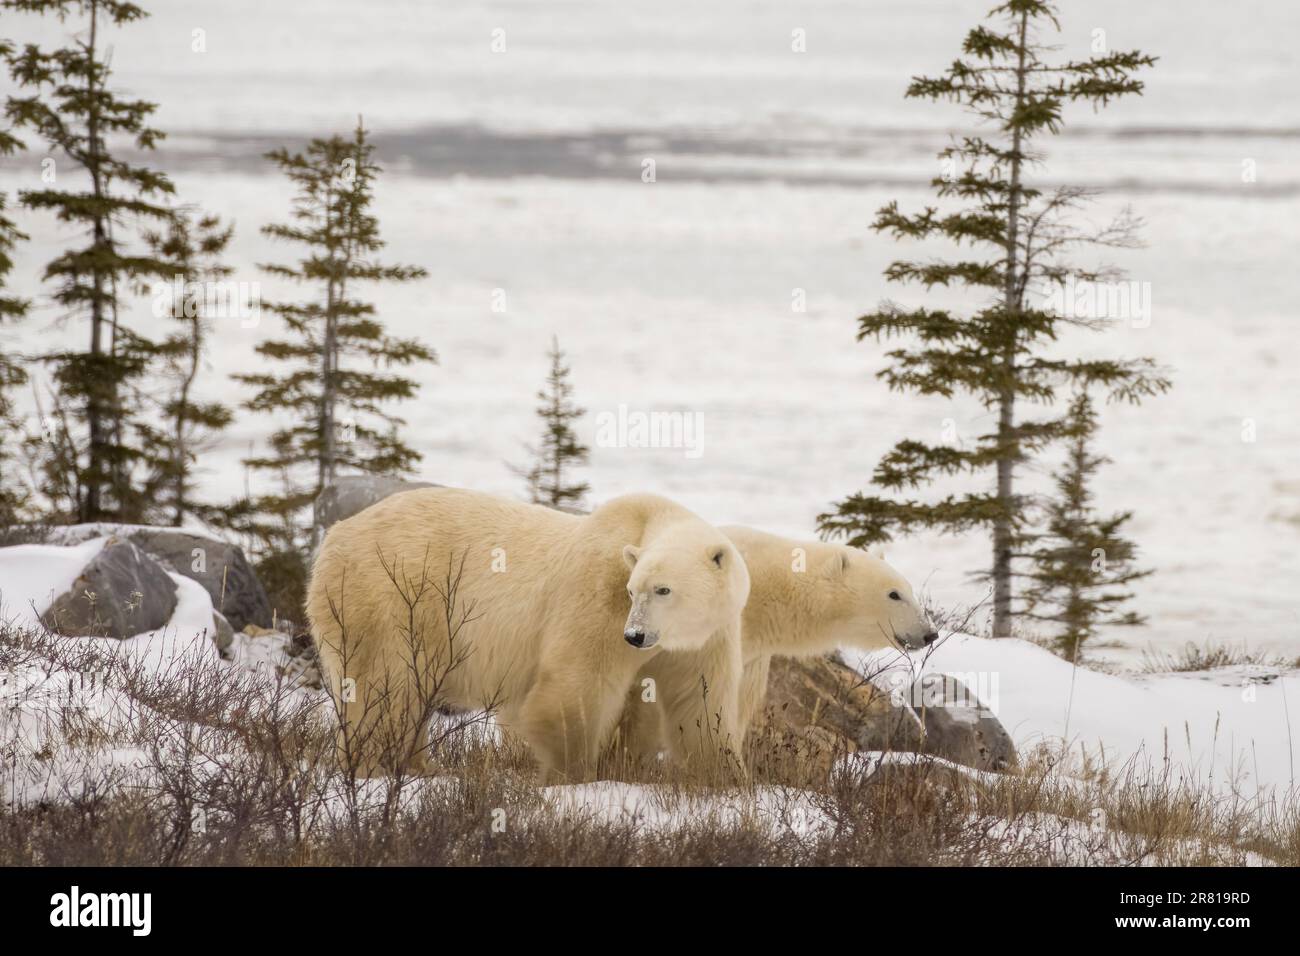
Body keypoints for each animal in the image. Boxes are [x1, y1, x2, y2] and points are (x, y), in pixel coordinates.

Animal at [304, 489, 748, 780]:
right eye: (632, 590)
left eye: (663, 589)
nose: (635, 635)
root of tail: (333, 537)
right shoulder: (597, 593)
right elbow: (577, 684)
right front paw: (573, 774)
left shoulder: (705, 639)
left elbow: (699, 703)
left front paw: (725, 776)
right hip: (391, 595)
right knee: (388, 685)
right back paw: (377, 764)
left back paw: (417, 765)